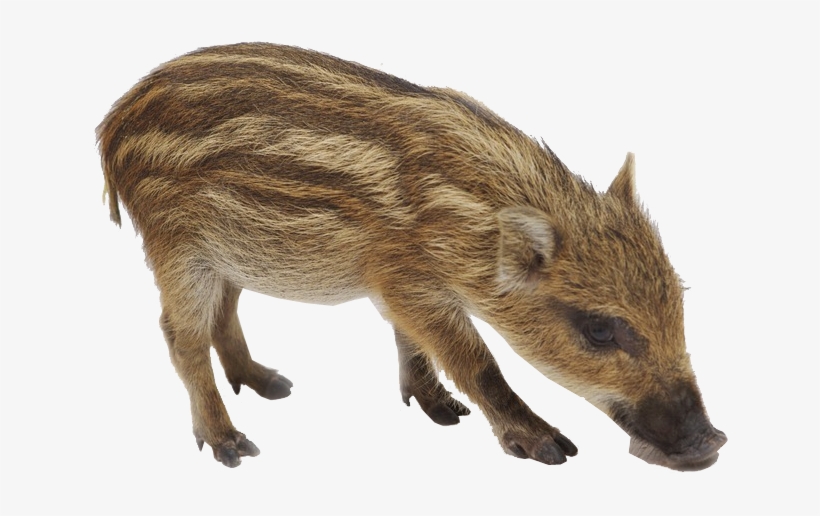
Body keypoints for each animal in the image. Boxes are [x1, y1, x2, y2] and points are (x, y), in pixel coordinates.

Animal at [97, 43, 727, 469]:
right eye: (598, 330)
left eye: (680, 302)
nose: (712, 443)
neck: (468, 218)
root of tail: (112, 124)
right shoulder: (408, 280)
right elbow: (476, 360)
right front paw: (550, 447)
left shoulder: (399, 287)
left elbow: (412, 341)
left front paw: (440, 410)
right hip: (177, 248)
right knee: (180, 336)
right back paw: (232, 445)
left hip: (226, 253)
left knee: (225, 313)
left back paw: (272, 384)